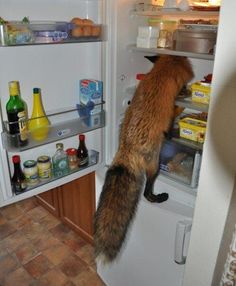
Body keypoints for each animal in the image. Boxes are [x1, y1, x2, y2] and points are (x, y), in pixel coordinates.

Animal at [93, 54, 193, 262]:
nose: (186, 90)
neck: (160, 74)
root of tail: (125, 150)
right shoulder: (169, 115)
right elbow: (173, 116)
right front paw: (181, 110)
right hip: (154, 165)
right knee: (147, 193)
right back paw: (158, 197)